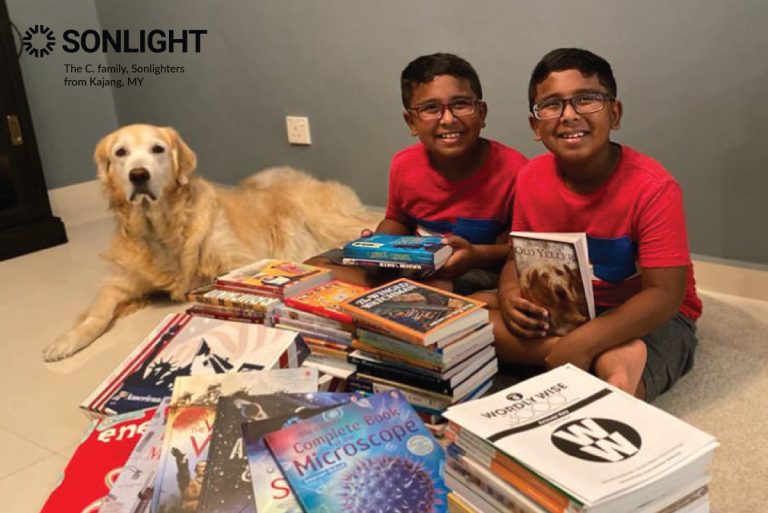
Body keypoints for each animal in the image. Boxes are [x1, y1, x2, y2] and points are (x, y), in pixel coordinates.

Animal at [43, 124, 380, 360]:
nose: (138, 175)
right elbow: (98, 312)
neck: (161, 230)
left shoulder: (240, 261)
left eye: (157, 149)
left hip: (326, 220)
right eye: (120, 152)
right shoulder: (120, 281)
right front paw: (66, 340)